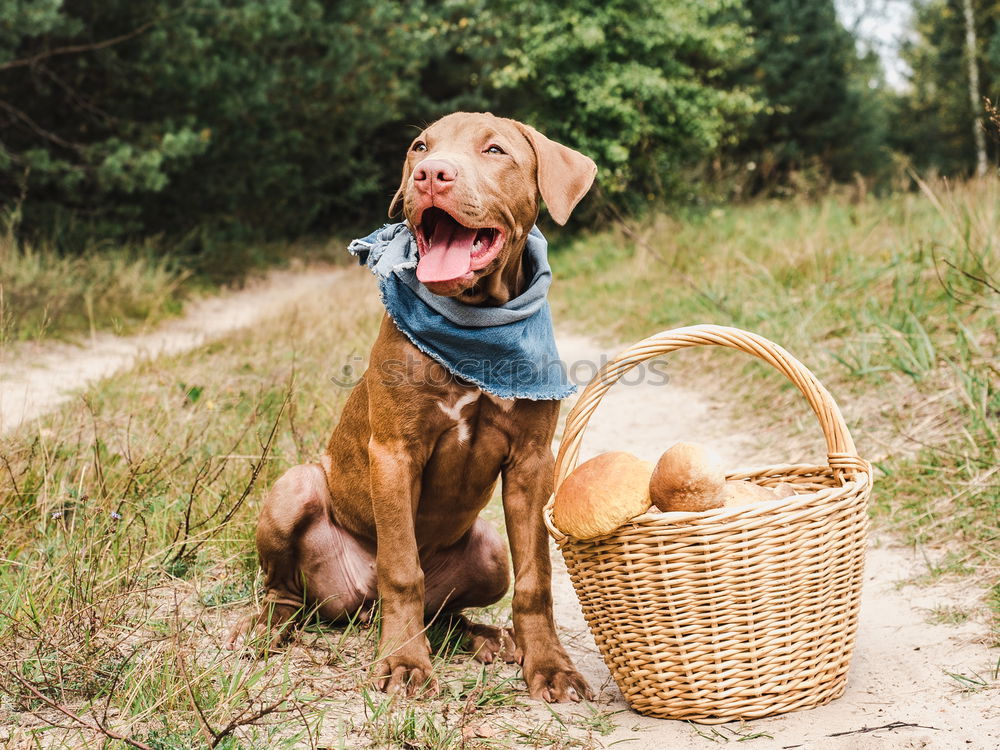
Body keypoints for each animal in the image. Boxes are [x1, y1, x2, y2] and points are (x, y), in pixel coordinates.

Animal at [230, 111, 596, 704]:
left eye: (495, 150)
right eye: (420, 148)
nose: (430, 175)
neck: (475, 323)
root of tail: (359, 607)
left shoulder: (531, 462)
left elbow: (536, 579)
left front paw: (549, 665)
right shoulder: (394, 452)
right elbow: (402, 568)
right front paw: (403, 663)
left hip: (489, 550)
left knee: (444, 612)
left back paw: (485, 637)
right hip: (294, 489)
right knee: (288, 593)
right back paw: (269, 628)